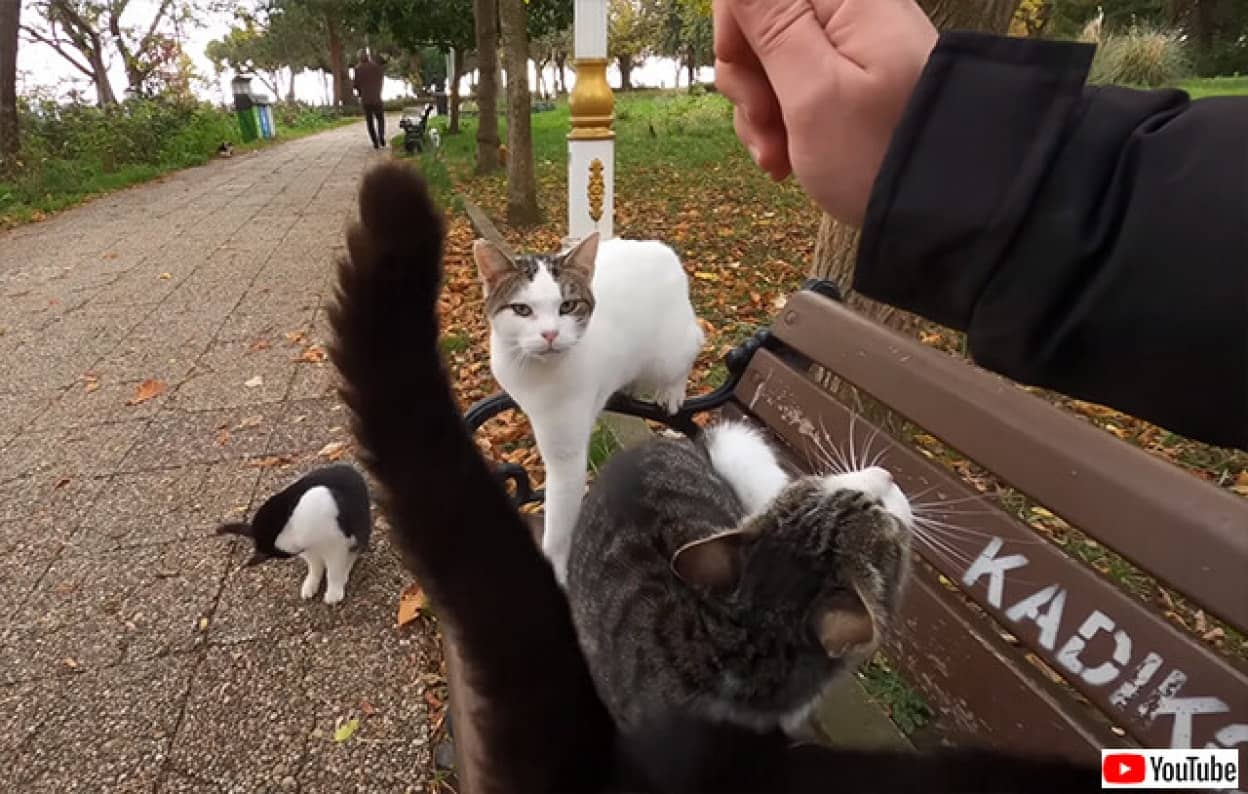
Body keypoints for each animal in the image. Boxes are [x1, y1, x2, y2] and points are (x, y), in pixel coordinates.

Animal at [215, 461, 369, 604]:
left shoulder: (336, 547)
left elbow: (333, 572)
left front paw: (333, 593)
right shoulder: (308, 551)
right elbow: (315, 567)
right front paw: (311, 584)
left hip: (358, 532)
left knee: (353, 553)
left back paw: (344, 573)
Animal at [471, 229, 703, 584]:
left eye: (567, 306)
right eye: (522, 309)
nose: (550, 333)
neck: (537, 373)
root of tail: (659, 247)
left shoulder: (566, 455)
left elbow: (557, 527)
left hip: (668, 352)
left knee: (690, 347)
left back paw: (672, 389)